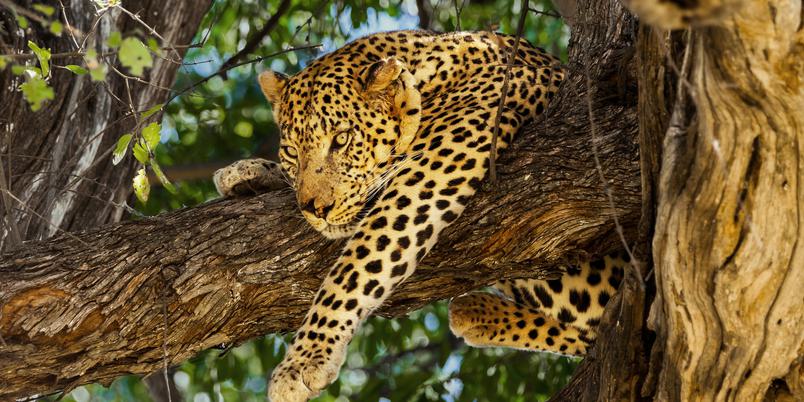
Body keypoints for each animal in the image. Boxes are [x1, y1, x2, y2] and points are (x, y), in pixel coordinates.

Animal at [213, 30, 626, 402]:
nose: (317, 210)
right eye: (292, 152)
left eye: (342, 139)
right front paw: (245, 173)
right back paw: (475, 313)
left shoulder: (436, 163)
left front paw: (304, 360)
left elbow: (357, 265)